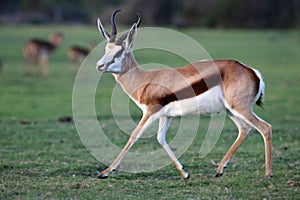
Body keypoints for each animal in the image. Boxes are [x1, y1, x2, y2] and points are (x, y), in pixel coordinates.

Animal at [95, 10, 272, 180]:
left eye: (119, 52)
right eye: (106, 49)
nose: (100, 65)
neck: (144, 80)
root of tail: (252, 71)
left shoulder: (150, 112)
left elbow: (133, 136)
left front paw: (105, 172)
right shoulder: (165, 115)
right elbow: (161, 139)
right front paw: (185, 174)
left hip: (239, 108)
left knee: (265, 127)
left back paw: (268, 174)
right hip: (230, 110)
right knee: (245, 129)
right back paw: (219, 170)